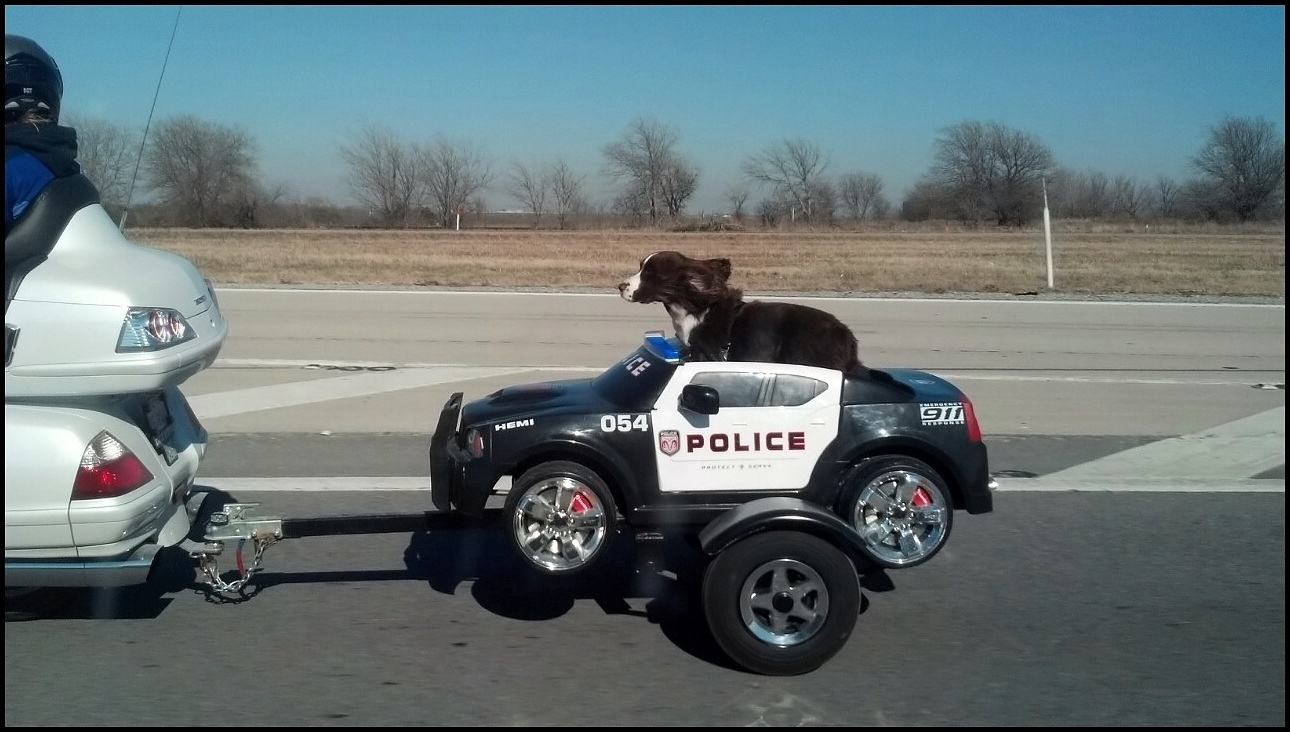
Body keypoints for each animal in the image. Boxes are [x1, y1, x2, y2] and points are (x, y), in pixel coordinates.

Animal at [619, 251, 872, 376]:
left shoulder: (706, 355)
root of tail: (848, 338)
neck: (692, 308)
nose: (620, 286)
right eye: (641, 267)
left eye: (649, 273)